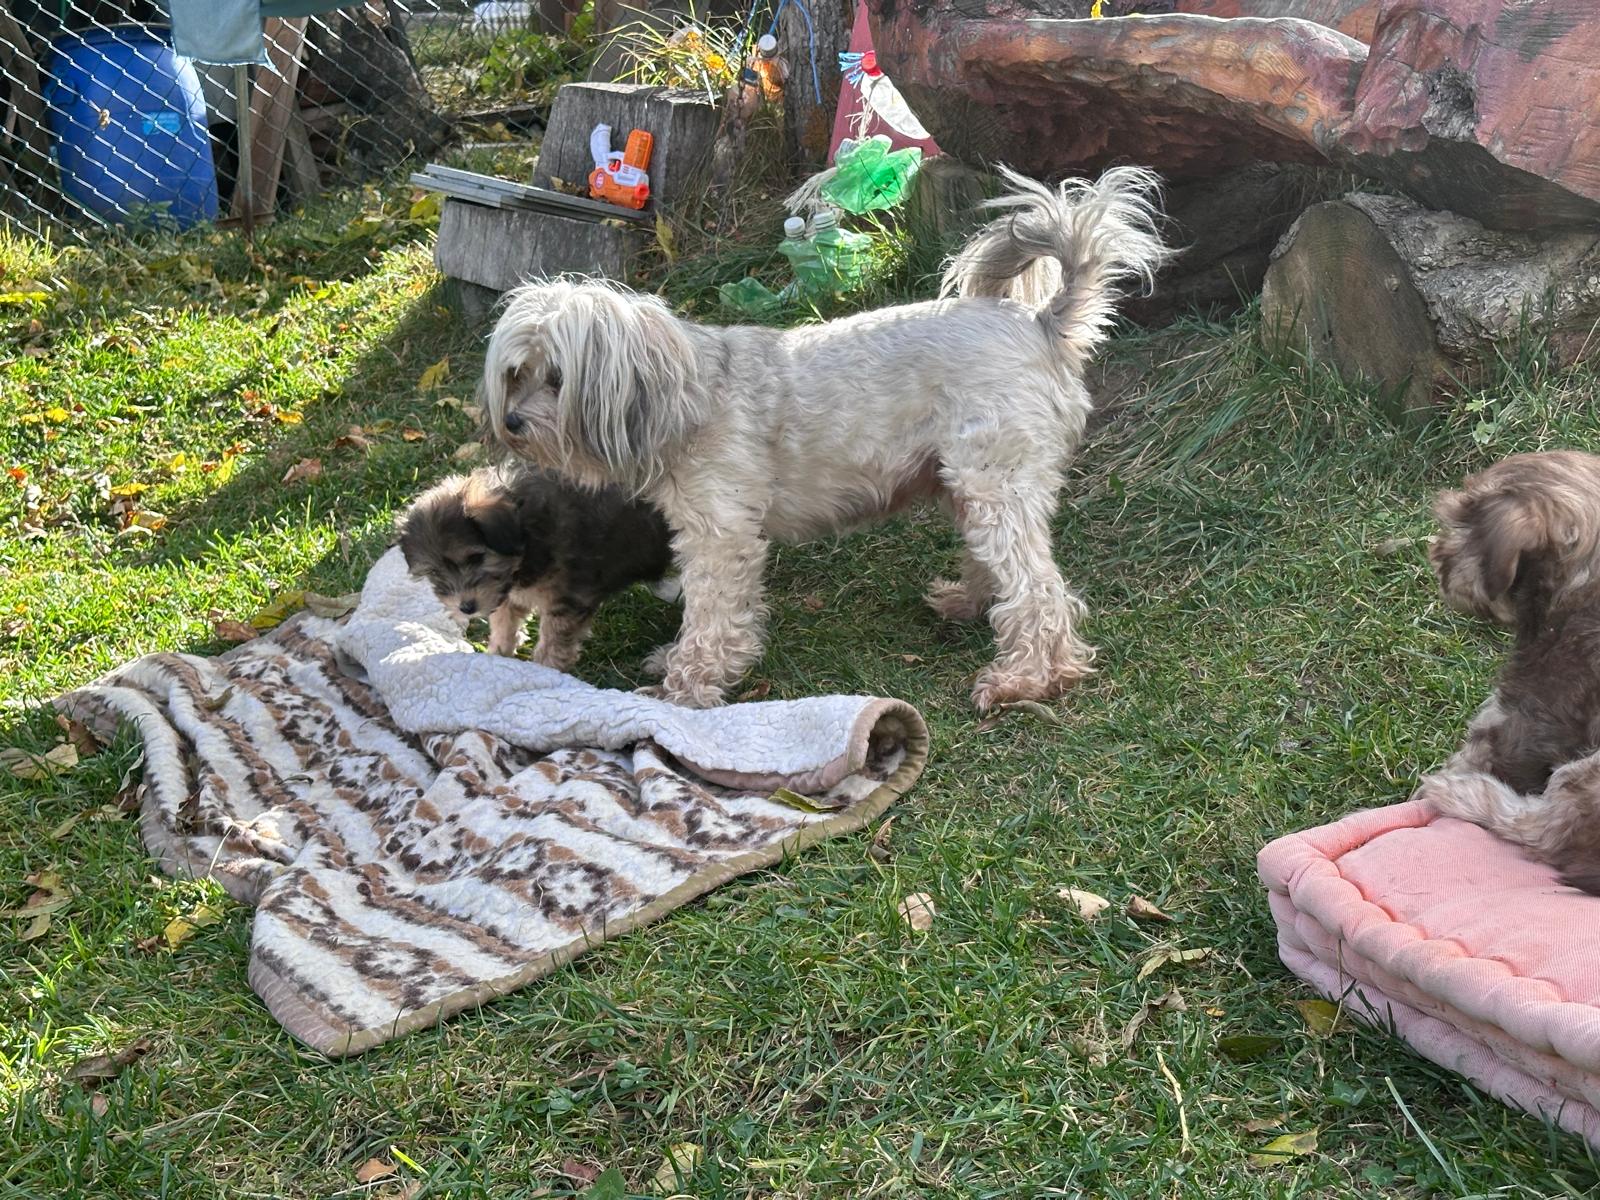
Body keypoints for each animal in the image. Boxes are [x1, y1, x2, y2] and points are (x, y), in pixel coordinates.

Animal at [395, 464, 675, 671]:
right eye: (434, 572)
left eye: (475, 558)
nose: (466, 608)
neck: (528, 531)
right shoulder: (506, 594)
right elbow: (503, 623)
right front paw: (498, 655)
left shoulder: (566, 602)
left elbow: (552, 644)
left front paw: (545, 671)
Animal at [476, 167, 1169, 710]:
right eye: (515, 376)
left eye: (556, 378)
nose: (511, 424)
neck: (691, 395)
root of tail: (1041, 325)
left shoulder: (722, 540)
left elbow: (710, 618)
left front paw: (684, 688)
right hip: (971, 485)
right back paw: (968, 605)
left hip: (994, 484)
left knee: (1039, 591)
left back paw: (1026, 679)